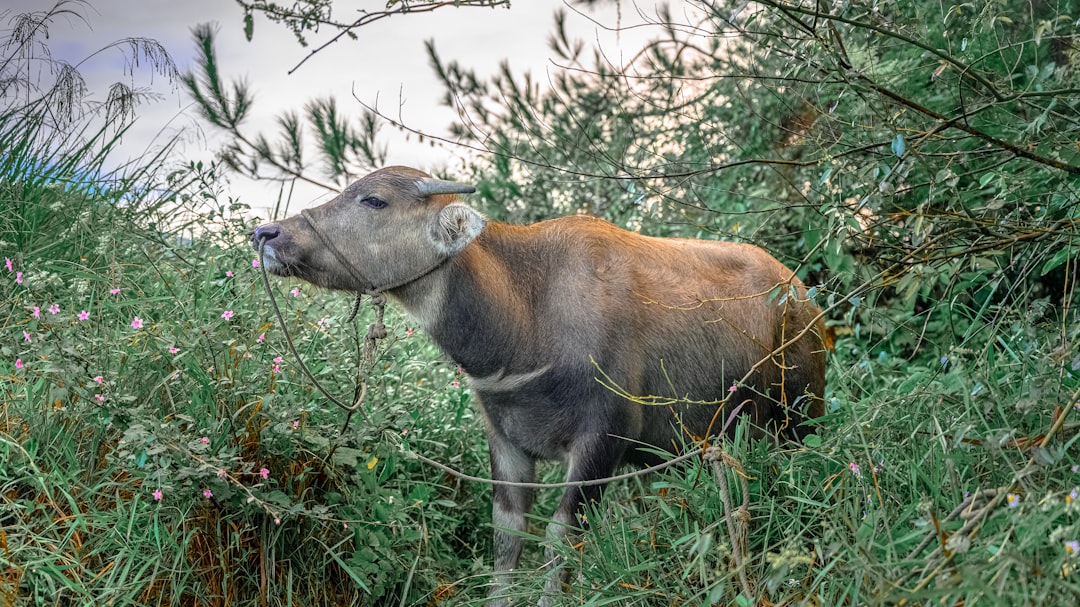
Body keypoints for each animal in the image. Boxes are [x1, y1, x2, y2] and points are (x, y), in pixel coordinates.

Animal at [252, 163, 825, 600]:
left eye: (374, 200)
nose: (267, 234)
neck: (526, 316)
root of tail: (801, 295)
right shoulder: (505, 440)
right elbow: (507, 540)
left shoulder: (601, 441)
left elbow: (559, 540)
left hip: (799, 417)